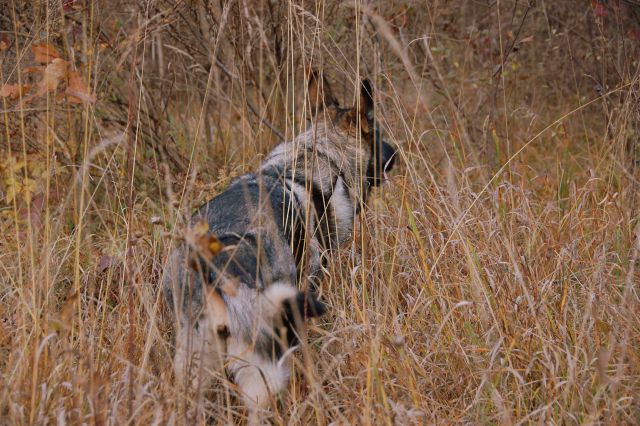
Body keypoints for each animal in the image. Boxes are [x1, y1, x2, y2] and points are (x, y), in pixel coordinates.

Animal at [161, 70, 396, 416]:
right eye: (377, 133)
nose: (397, 154)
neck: (320, 154)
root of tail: (213, 267)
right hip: (264, 371)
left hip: (195, 367)